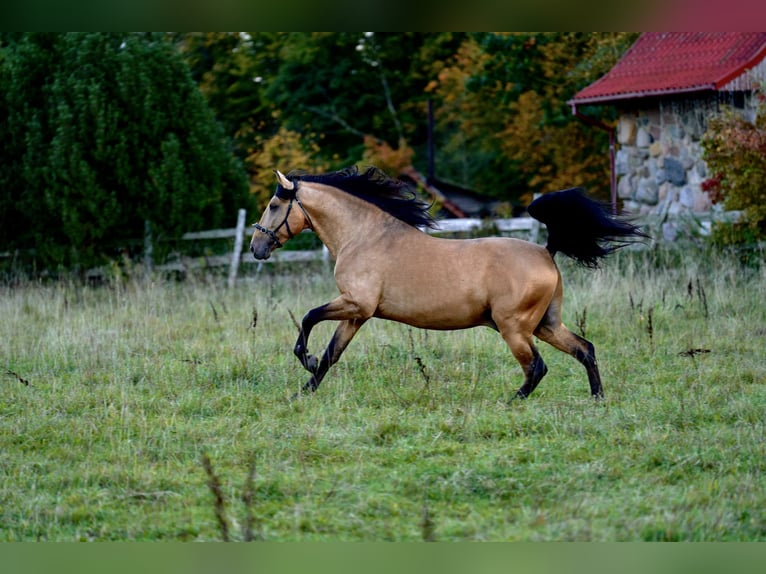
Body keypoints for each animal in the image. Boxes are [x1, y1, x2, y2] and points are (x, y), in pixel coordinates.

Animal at [252, 165, 648, 400]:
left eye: (273, 205)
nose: (257, 248)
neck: (364, 236)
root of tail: (546, 252)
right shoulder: (358, 314)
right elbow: (332, 354)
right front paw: (304, 390)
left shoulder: (356, 303)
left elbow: (308, 318)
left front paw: (305, 360)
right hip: (546, 324)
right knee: (585, 349)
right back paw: (597, 398)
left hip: (514, 327)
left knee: (537, 367)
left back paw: (512, 401)